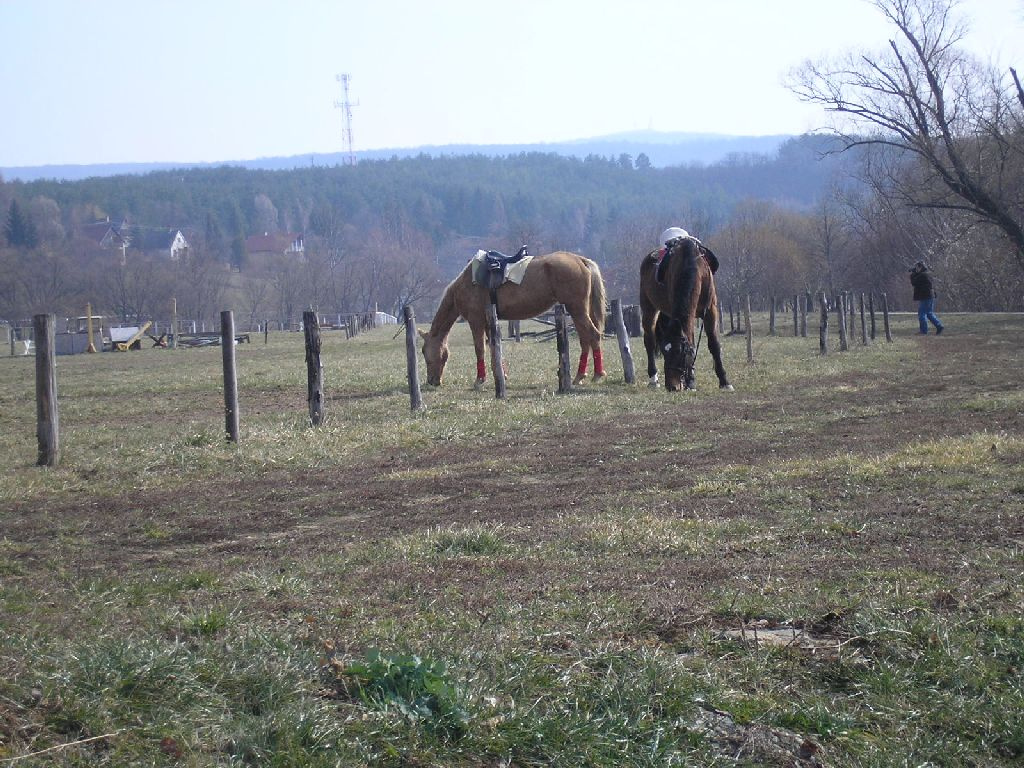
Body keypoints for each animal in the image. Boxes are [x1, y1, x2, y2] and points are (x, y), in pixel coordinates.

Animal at [417, 250, 606, 387]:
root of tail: (580, 260)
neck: (466, 283)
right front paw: (502, 375)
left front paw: (480, 380)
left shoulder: (476, 320)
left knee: (593, 335)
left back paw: (596, 375)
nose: (432, 381)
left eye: (424, 352)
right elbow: (494, 348)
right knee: (585, 339)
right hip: (578, 310)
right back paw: (580, 376)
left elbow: (480, 349)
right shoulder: (488, 322)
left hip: (577, 309)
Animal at [634, 234, 733, 393]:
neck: (691, 264)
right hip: (649, 309)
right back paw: (653, 379)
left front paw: (724, 381)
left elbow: (714, 345)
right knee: (649, 341)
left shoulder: (710, 311)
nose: (672, 387)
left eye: (680, 353)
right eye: (665, 353)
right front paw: (690, 381)